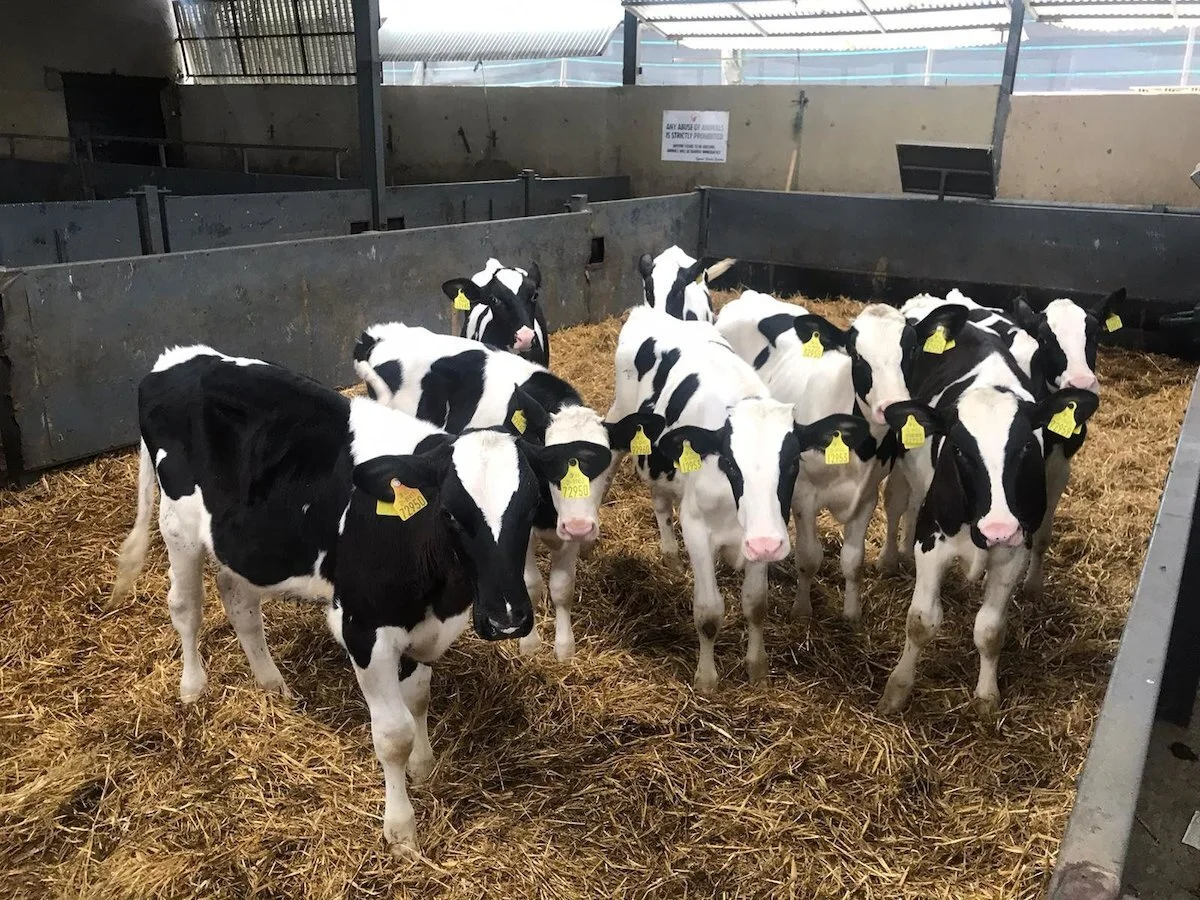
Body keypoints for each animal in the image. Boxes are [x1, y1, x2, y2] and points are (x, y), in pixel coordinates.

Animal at [109, 345, 546, 853]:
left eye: (531, 507)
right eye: (452, 513)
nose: (508, 618)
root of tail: (178, 357)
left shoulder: (422, 623)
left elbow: (418, 699)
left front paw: (423, 765)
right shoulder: (363, 627)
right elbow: (392, 734)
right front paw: (401, 829)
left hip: (242, 541)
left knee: (238, 600)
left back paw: (271, 684)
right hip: (177, 524)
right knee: (186, 607)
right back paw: (193, 687)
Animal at [354, 322, 664, 661]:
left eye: (605, 463)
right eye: (553, 463)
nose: (580, 528)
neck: (546, 513)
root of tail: (381, 333)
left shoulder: (566, 522)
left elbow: (562, 587)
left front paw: (564, 648)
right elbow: (531, 583)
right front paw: (529, 645)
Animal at [607, 306, 871, 691]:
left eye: (793, 462)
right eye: (730, 463)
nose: (766, 543)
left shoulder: (763, 533)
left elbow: (755, 604)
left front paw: (756, 666)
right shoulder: (697, 528)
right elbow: (708, 612)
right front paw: (706, 678)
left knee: (660, 500)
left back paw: (670, 557)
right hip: (621, 419)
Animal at [715, 290, 970, 624]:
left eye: (912, 349)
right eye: (857, 355)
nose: (890, 406)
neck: (861, 446)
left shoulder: (866, 496)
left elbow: (853, 560)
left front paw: (851, 612)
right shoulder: (804, 493)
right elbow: (809, 557)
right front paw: (802, 610)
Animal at [873, 323, 1099, 713]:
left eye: (1026, 446)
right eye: (959, 449)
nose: (999, 529)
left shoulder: (1013, 553)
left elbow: (990, 631)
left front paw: (986, 697)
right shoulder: (932, 543)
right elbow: (920, 622)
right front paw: (897, 688)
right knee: (898, 503)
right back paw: (891, 556)